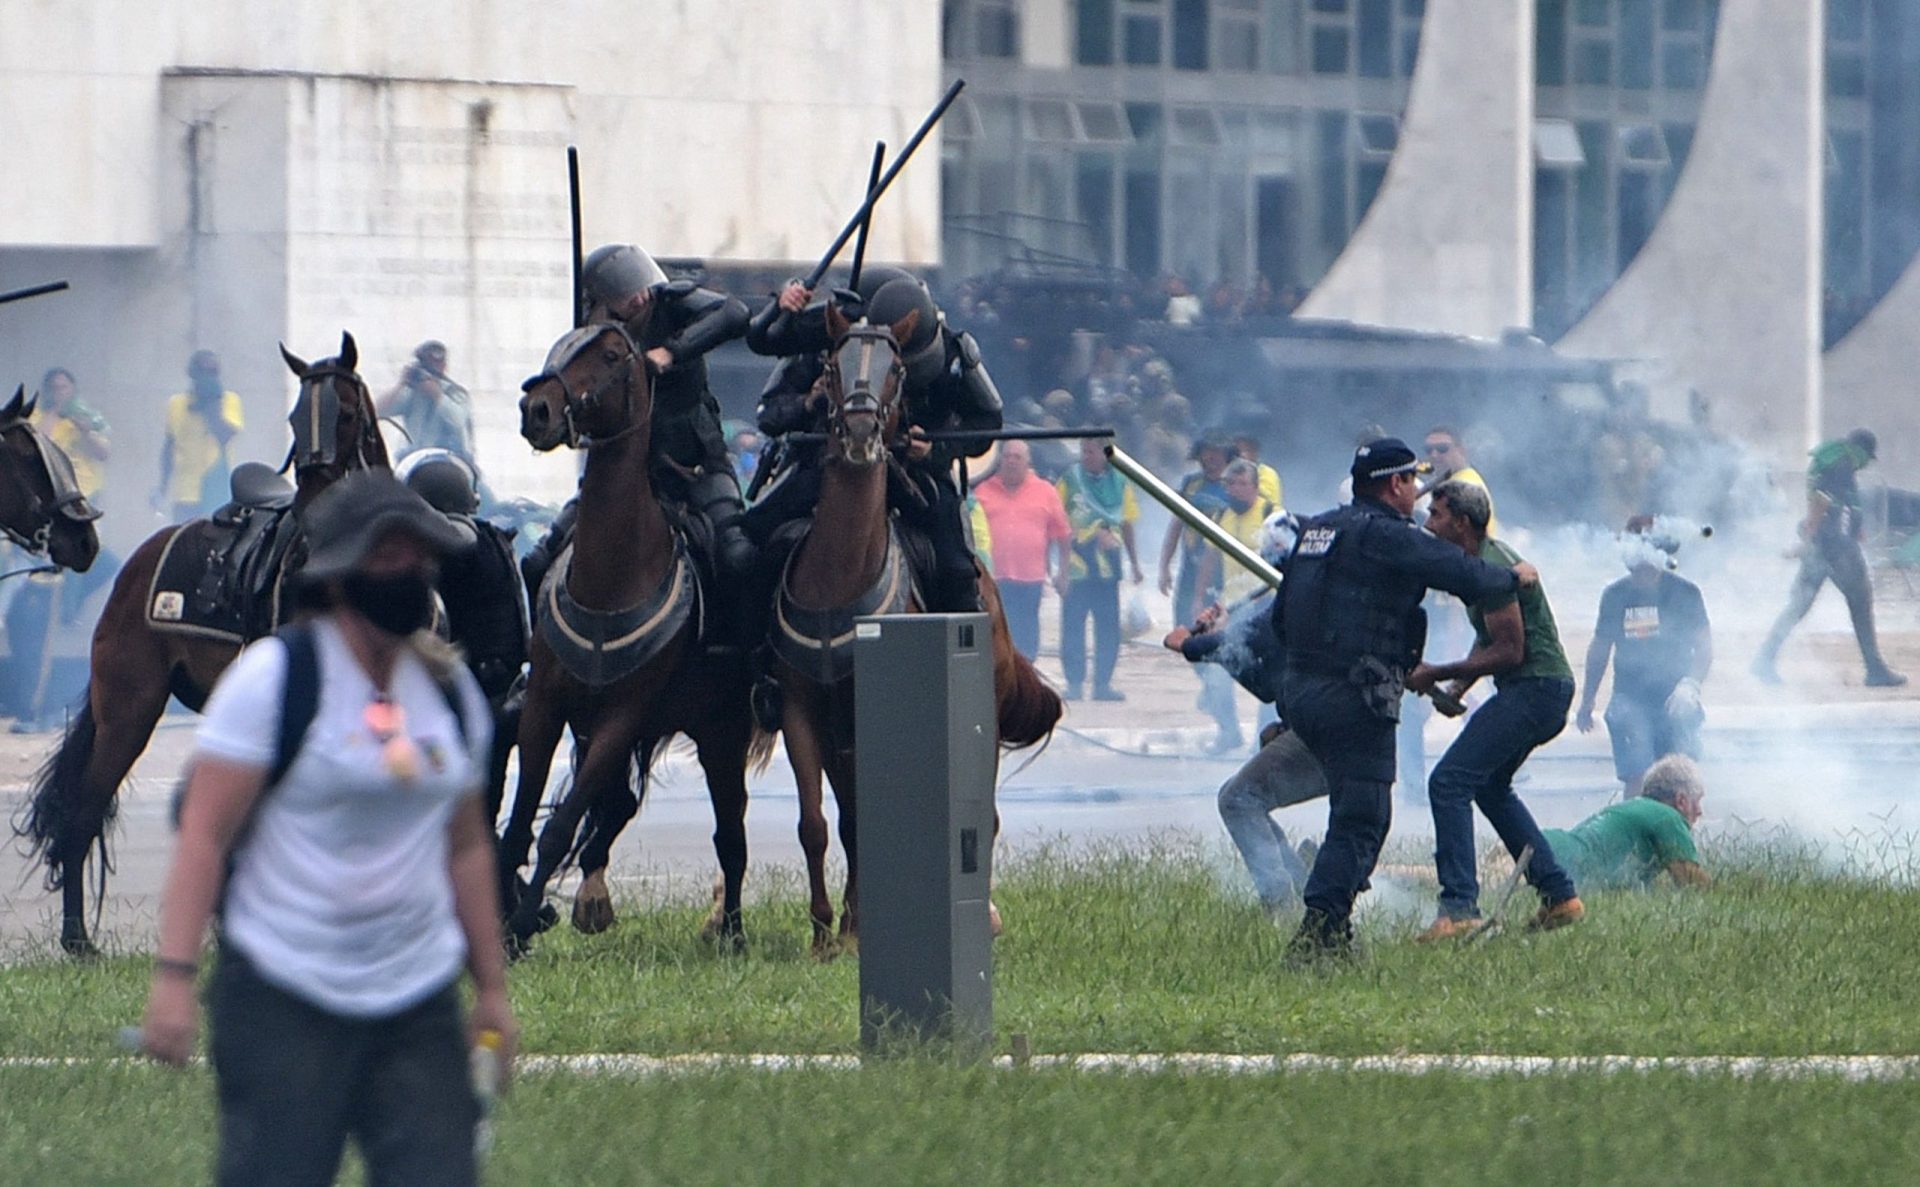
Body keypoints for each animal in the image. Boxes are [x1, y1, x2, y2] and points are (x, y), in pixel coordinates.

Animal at [15, 330, 387, 952]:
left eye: (346, 412)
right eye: (295, 416)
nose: (311, 516)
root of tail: (141, 559)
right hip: (129, 710)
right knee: (85, 809)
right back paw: (78, 939)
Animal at [506, 318, 768, 948]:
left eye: (609, 356)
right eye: (561, 346)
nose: (537, 409)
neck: (613, 574)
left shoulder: (623, 717)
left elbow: (560, 825)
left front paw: (521, 924)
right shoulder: (548, 707)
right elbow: (525, 815)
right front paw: (510, 912)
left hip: (719, 732)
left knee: (730, 833)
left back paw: (731, 930)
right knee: (620, 806)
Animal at [771, 299, 1059, 956]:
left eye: (895, 370)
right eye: (833, 364)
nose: (859, 433)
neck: (840, 579)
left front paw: (855, 930)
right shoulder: (804, 712)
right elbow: (816, 823)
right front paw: (825, 933)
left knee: (985, 815)